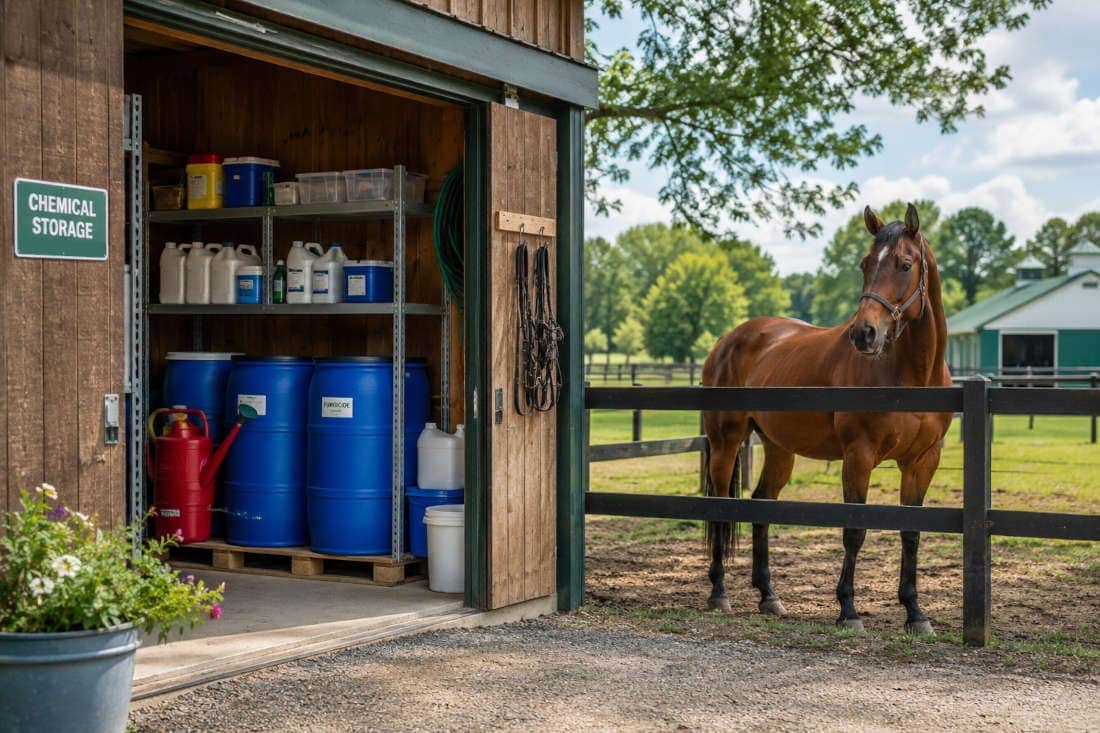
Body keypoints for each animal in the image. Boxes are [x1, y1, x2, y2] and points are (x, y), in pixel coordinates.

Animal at [701, 203, 951, 635]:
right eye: (865, 264)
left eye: (905, 265)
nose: (864, 334)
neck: (912, 376)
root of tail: (728, 340)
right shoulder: (859, 456)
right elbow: (854, 530)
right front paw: (848, 610)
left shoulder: (923, 461)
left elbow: (911, 532)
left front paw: (916, 613)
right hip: (725, 442)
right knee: (721, 506)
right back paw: (719, 593)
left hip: (778, 448)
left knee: (761, 503)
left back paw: (769, 596)